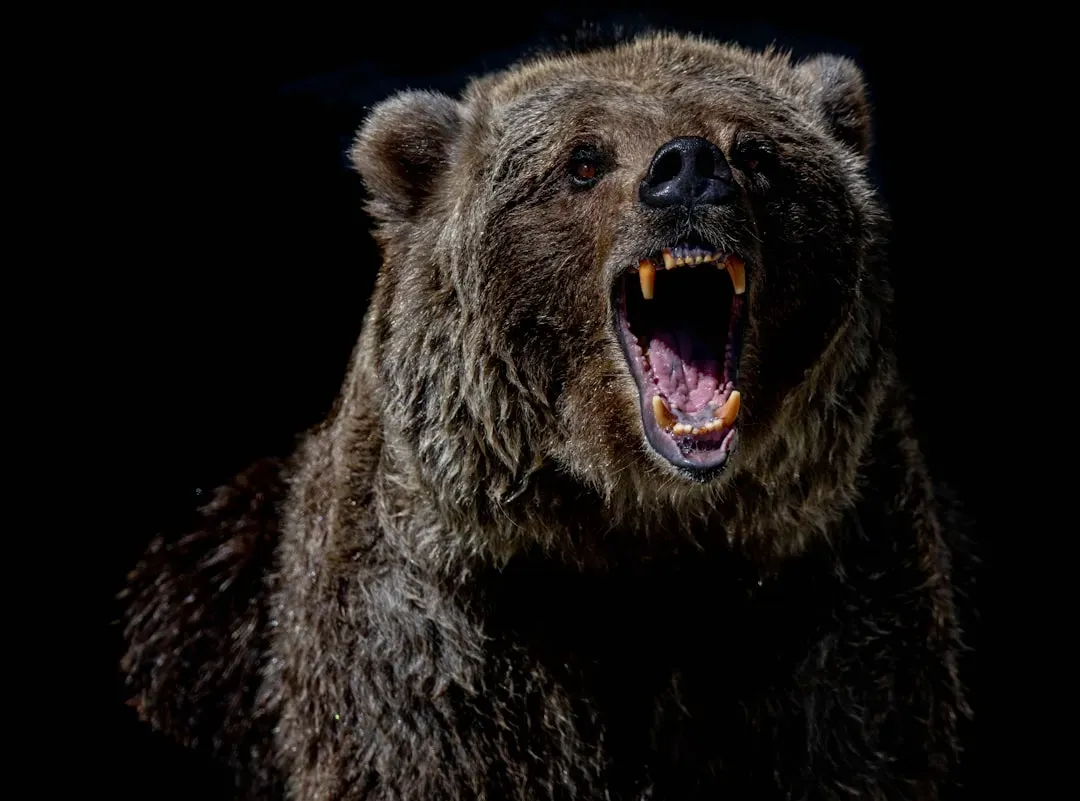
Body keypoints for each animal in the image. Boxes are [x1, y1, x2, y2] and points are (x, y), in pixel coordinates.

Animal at [120, 31, 975, 800]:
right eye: (583, 160)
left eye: (758, 153)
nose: (689, 168)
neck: (637, 531)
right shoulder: (444, 640)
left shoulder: (827, 606)